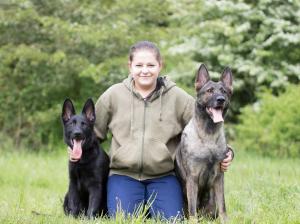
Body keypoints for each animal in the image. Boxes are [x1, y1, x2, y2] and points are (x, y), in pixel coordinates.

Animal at [176, 63, 232, 222]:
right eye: (209, 91)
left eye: (224, 91)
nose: (221, 99)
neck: (208, 137)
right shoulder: (192, 178)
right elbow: (192, 209)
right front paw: (193, 222)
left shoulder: (219, 178)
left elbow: (223, 206)